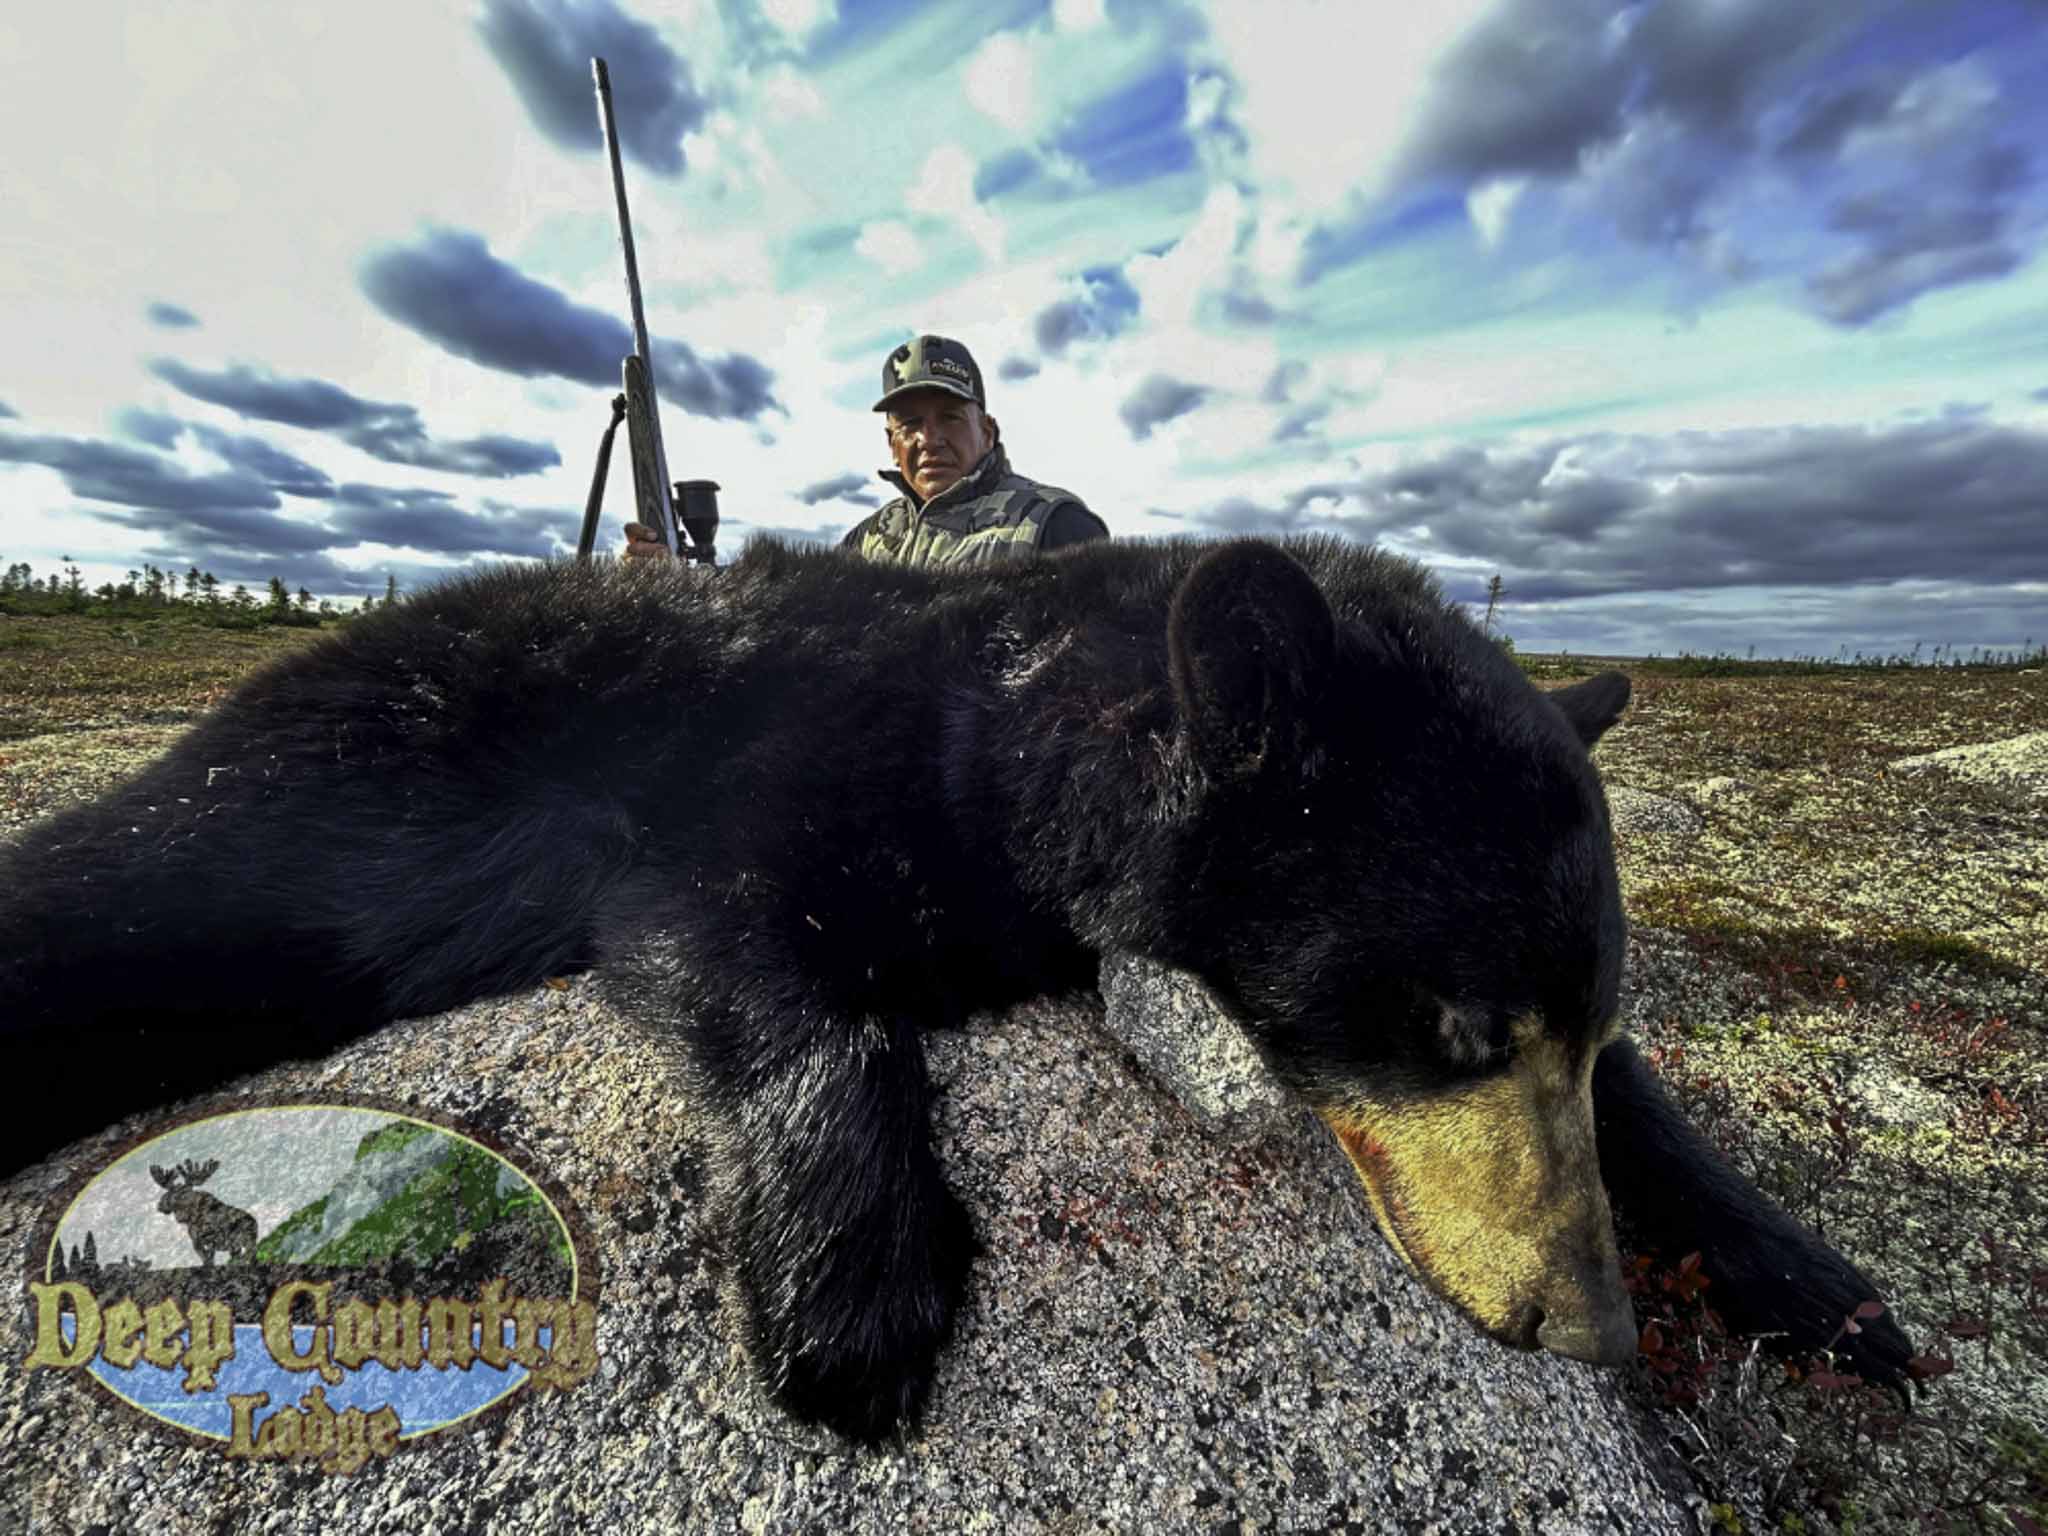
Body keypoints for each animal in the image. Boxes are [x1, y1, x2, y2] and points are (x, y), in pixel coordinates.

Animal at [0, 535, 1912, 1442]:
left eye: (1570, 1032)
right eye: (1449, 1028)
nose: (1591, 1325)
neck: (1030, 722)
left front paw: (1819, 1284)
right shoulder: (748, 786)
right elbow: (757, 964)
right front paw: (852, 1293)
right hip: (317, 807)